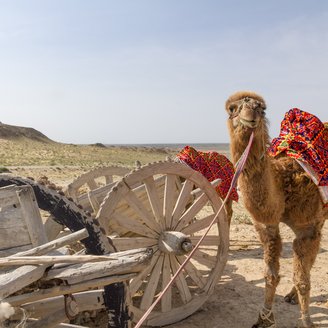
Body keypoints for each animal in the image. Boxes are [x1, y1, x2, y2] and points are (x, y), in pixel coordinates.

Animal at [226, 91, 328, 328]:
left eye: (262, 108)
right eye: (232, 108)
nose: (251, 110)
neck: (282, 184)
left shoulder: (307, 227)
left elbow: (302, 280)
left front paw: (307, 321)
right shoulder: (267, 226)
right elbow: (271, 275)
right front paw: (264, 317)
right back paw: (290, 296)